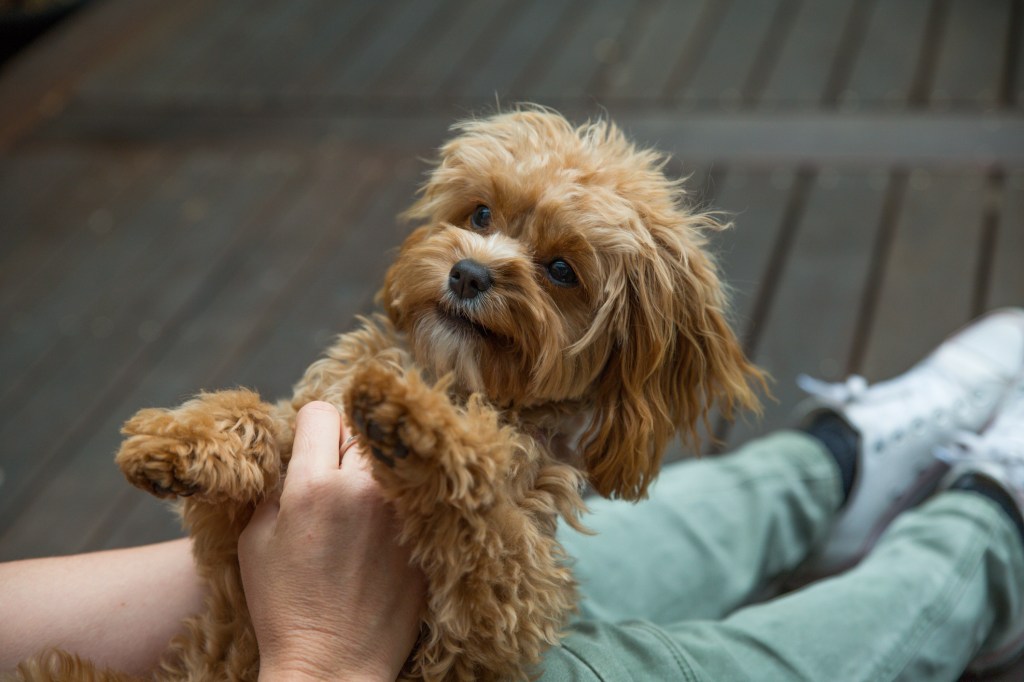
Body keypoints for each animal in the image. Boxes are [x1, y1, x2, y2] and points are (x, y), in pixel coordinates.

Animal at [19, 106, 765, 679]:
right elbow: (263, 420)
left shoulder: (497, 619)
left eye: (561, 270)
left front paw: (413, 419)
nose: (468, 273)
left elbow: (486, 523)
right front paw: (178, 440)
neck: (457, 378)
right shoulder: (235, 543)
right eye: (481, 213)